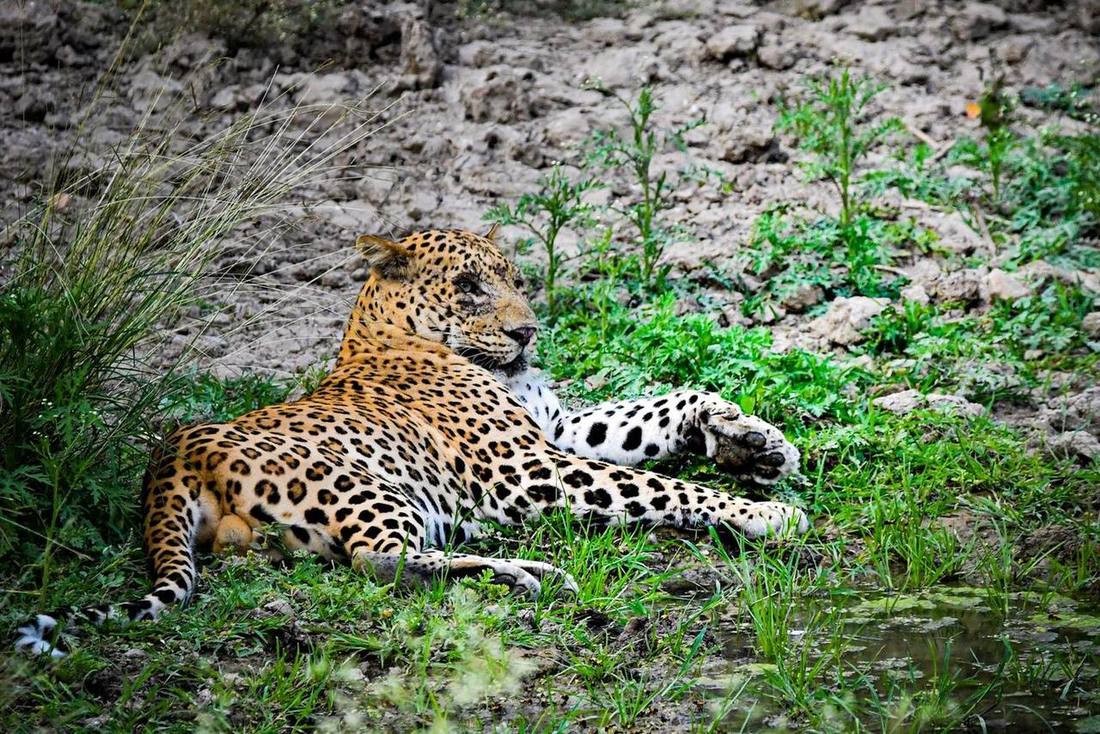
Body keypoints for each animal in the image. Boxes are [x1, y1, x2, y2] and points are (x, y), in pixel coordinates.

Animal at [16, 227, 807, 657]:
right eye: (469, 287)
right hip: (368, 484)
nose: (527, 331)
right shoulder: (522, 466)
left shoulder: (554, 431)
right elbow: (660, 486)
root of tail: (171, 453)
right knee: (379, 562)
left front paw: (752, 438)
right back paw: (525, 573)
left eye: (517, 280)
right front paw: (767, 513)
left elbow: (656, 408)